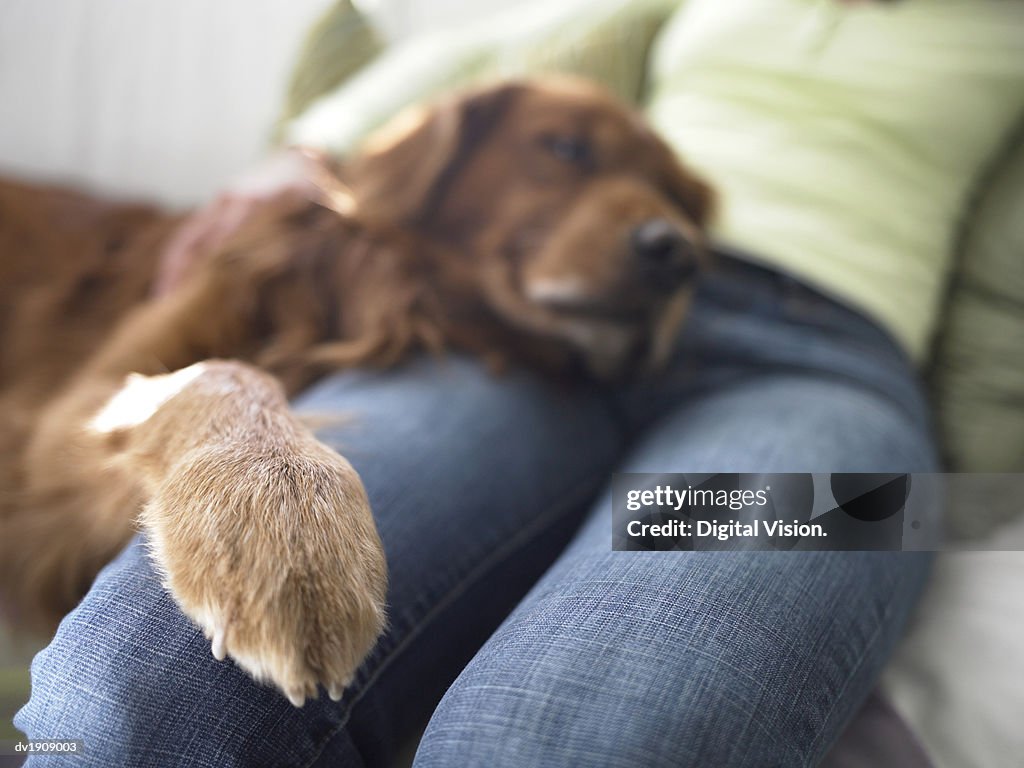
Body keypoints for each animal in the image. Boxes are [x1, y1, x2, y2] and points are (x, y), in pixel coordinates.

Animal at [0, 75, 712, 708]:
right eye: (566, 148)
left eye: (676, 195)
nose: (680, 254)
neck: (363, 288)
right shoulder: (56, 424)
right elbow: (227, 370)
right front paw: (285, 535)